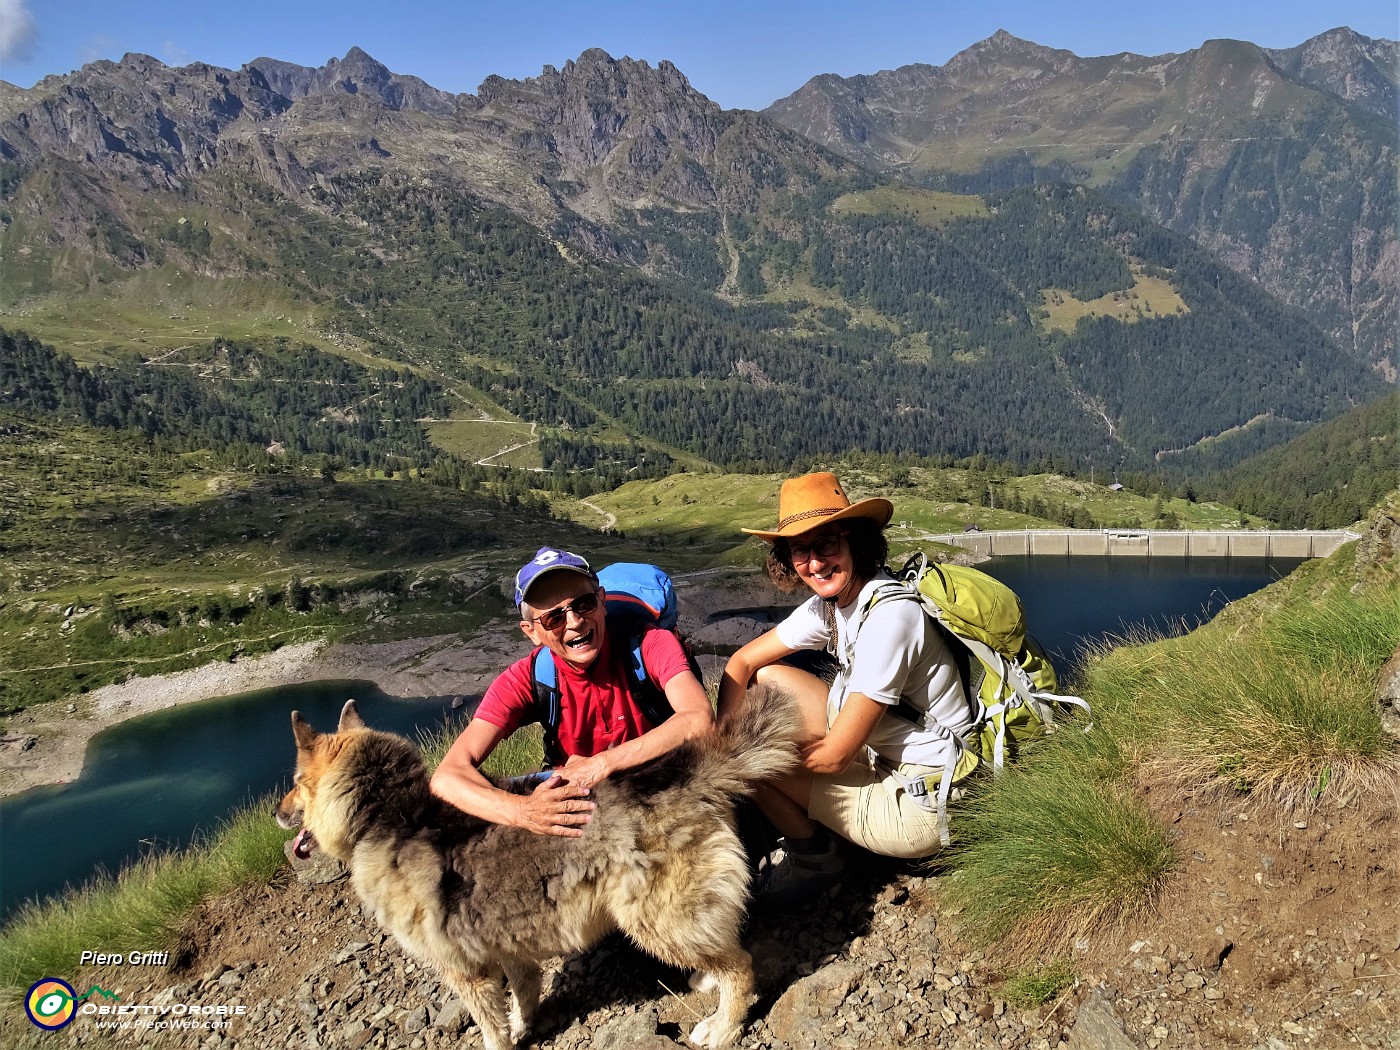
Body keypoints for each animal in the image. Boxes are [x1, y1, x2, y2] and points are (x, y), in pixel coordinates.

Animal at [273, 691, 800, 1050]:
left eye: (296, 782)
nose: (277, 812)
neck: (389, 813)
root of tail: (686, 773)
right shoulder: (508, 948)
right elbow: (522, 998)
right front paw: (525, 1026)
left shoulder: (465, 972)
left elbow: (490, 1027)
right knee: (723, 947)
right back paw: (705, 980)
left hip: (656, 918)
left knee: (741, 966)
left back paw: (724, 1026)